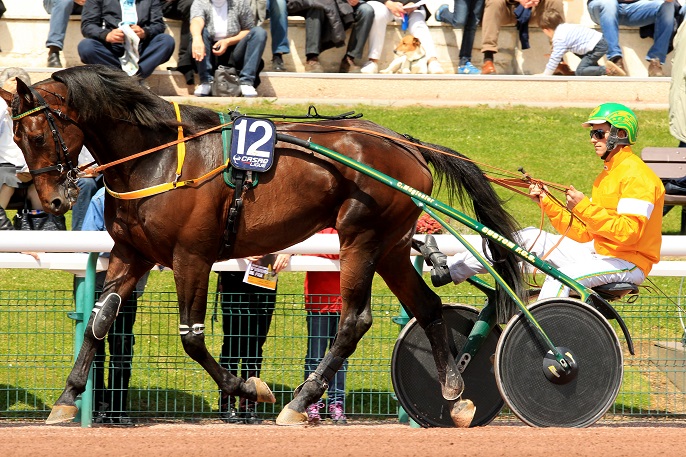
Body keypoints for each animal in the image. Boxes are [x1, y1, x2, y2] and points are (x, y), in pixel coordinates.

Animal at [1, 66, 528, 426]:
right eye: (17, 136)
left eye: (36, 133)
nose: (52, 200)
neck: (158, 159)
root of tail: (408, 144)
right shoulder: (132, 254)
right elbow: (99, 323)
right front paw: (67, 399)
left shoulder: (191, 258)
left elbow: (192, 339)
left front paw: (249, 388)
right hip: (394, 246)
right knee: (429, 307)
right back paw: (455, 392)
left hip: (360, 238)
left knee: (354, 320)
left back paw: (299, 401)